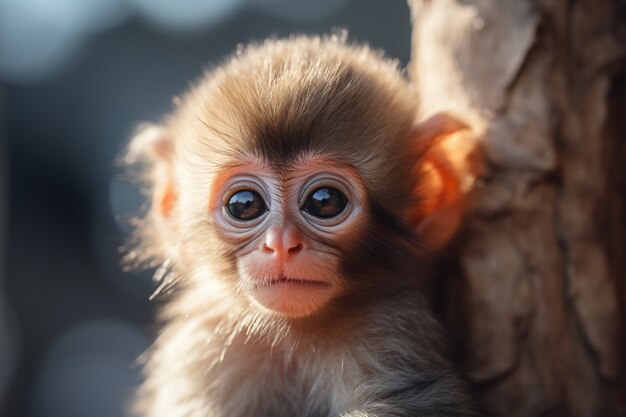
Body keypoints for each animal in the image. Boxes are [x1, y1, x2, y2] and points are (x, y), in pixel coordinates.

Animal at [127, 34, 478, 414]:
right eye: (244, 205)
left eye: (325, 201)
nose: (281, 243)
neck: (290, 335)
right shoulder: (201, 347)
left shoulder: (391, 331)